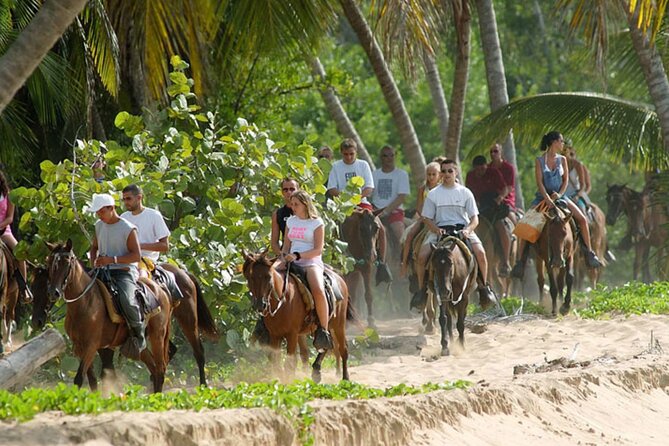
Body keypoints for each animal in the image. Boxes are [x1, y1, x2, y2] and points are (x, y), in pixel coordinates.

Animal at [32, 262, 219, 386]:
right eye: (33, 288)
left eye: (47, 289)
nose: (37, 321)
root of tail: (184, 273)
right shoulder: (102, 345)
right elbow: (103, 372)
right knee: (170, 351)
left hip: (188, 319)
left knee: (198, 352)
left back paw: (203, 385)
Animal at [43, 242, 170, 392]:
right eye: (49, 262)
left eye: (67, 262)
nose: (54, 292)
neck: (86, 302)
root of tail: (161, 290)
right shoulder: (79, 346)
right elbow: (92, 380)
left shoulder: (91, 345)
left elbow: (79, 378)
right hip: (142, 347)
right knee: (154, 370)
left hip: (158, 336)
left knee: (160, 370)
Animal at [241, 251, 354, 384]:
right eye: (249, 277)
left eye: (268, 277)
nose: (260, 304)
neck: (283, 301)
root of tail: (340, 279)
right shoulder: (275, 335)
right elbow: (276, 361)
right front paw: (279, 379)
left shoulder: (292, 334)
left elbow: (289, 362)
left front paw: (289, 381)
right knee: (323, 346)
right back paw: (316, 372)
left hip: (338, 324)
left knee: (342, 349)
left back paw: (345, 378)